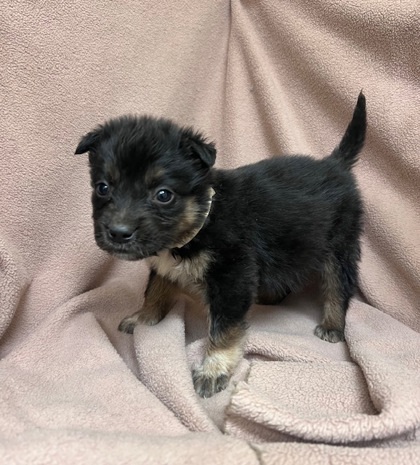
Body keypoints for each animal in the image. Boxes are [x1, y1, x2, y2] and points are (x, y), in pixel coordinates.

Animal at [77, 92, 366, 396]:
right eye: (103, 187)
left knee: (338, 287)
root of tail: (335, 164)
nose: (118, 233)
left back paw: (332, 324)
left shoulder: (231, 276)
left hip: (339, 246)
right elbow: (155, 290)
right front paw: (143, 319)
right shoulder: (165, 264)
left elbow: (223, 327)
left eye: (163, 195)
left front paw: (214, 368)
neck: (202, 221)